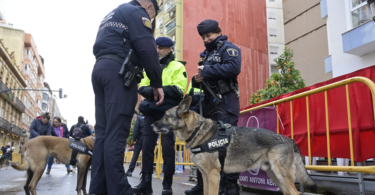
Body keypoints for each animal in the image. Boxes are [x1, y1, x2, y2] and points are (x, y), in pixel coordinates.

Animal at [153, 97, 318, 195]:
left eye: (166, 116)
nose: (151, 125)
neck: (198, 130)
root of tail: (290, 140)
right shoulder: (205, 175)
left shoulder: (213, 174)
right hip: (275, 175)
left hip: (281, 174)